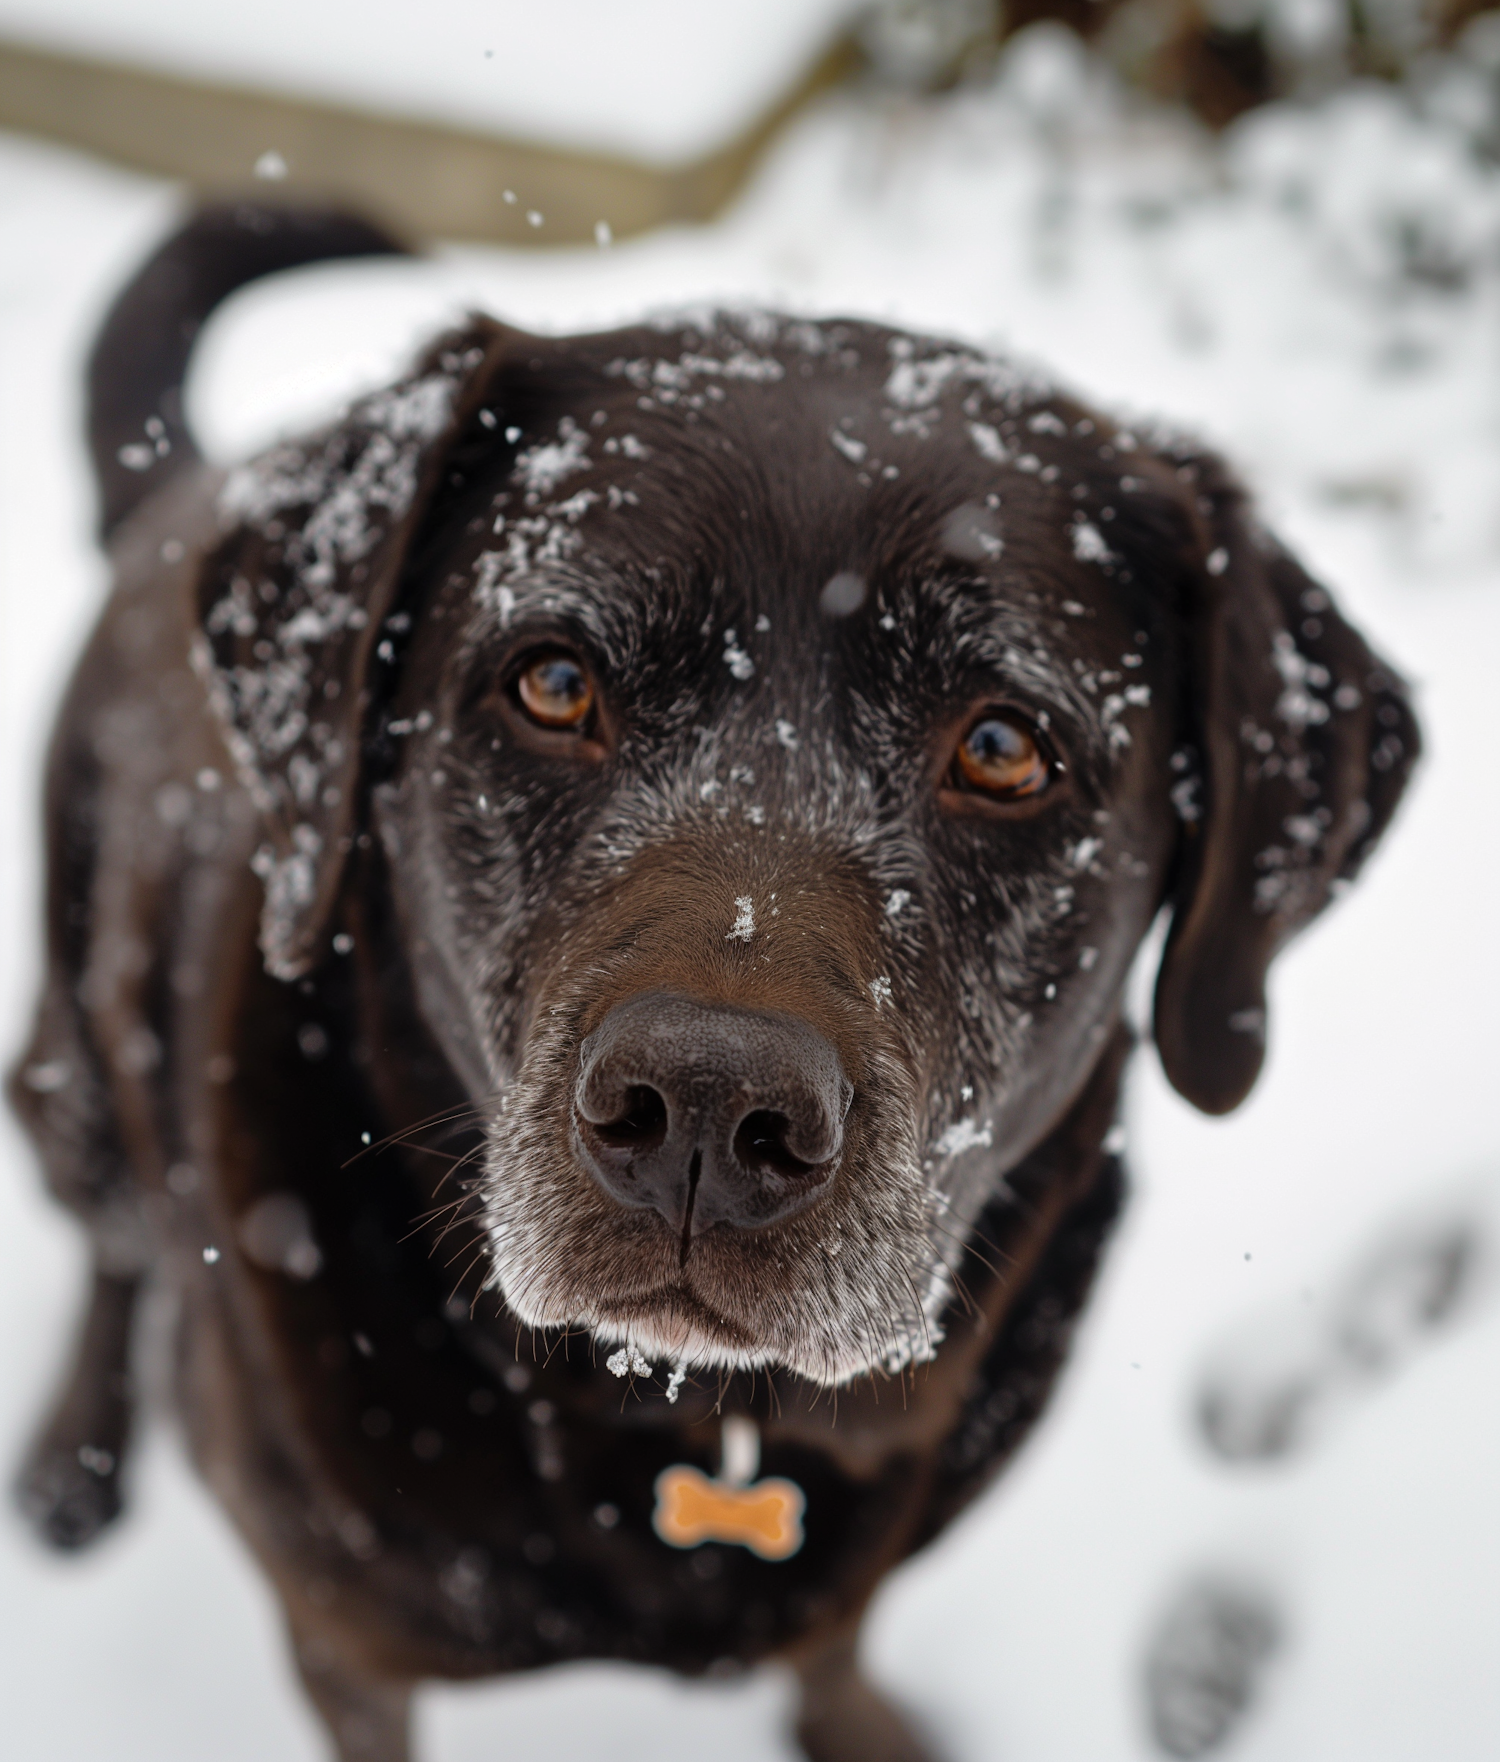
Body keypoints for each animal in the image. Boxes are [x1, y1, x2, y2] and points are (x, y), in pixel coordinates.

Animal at [11, 199, 1417, 1754]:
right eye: (553, 682)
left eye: (1004, 748)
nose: (703, 1107)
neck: (694, 1428)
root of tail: (185, 486)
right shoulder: (345, 1640)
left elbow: (833, 1638)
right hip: (73, 1077)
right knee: (116, 1239)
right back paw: (77, 1456)